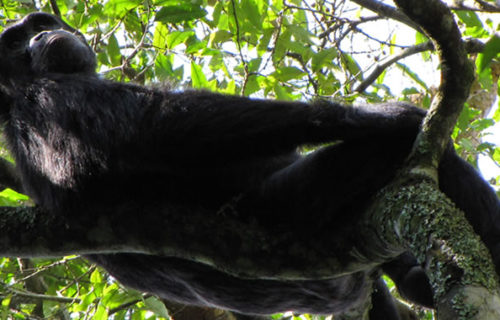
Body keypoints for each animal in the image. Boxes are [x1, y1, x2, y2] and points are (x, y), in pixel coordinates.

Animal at [0, 11, 498, 318]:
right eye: (16, 41)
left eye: (38, 24)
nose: (39, 36)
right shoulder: (49, 98)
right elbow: (152, 129)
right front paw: (374, 116)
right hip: (295, 209)